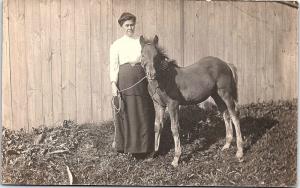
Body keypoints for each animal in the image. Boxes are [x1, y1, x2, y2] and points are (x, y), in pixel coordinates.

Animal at [139, 35, 243, 167]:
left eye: (156, 55)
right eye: (142, 54)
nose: (151, 74)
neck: (163, 80)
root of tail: (226, 64)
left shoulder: (173, 105)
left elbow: (174, 128)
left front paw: (176, 158)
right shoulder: (159, 106)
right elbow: (157, 126)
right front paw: (153, 154)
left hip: (225, 94)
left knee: (234, 115)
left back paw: (239, 151)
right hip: (216, 96)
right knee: (226, 115)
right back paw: (227, 145)